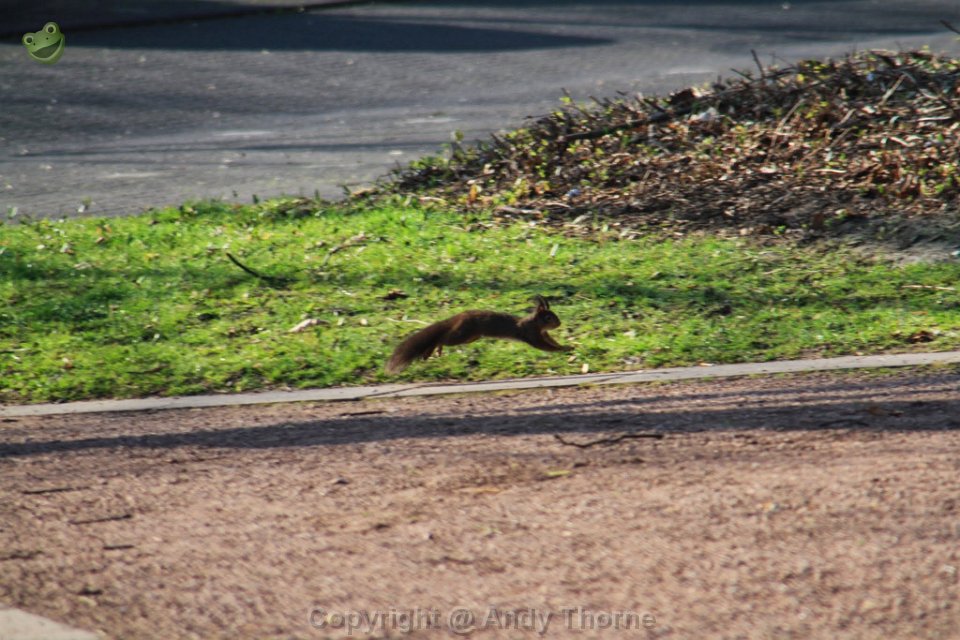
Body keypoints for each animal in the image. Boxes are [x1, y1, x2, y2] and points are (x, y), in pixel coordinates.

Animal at [385, 295, 572, 374]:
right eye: (548, 317)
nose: (559, 323)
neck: (535, 324)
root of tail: (458, 317)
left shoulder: (543, 334)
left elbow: (552, 342)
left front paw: (567, 346)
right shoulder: (532, 333)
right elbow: (545, 346)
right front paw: (563, 350)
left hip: (471, 337)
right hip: (462, 333)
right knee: (443, 338)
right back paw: (434, 349)